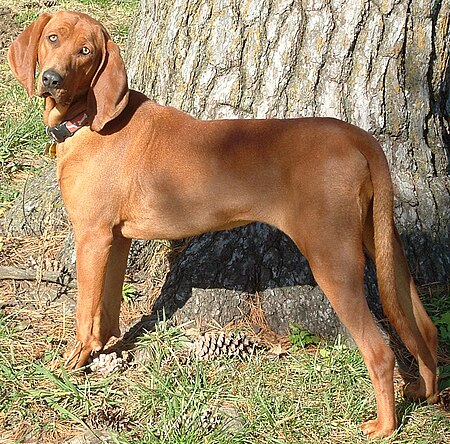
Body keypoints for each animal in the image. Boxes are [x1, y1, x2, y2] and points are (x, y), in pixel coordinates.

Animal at [7, 10, 436, 438]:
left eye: (86, 51)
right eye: (53, 37)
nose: (51, 79)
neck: (87, 120)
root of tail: (357, 136)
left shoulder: (92, 236)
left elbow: (85, 312)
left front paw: (71, 363)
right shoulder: (116, 238)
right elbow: (108, 307)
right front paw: (106, 349)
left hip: (334, 260)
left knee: (380, 352)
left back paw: (384, 425)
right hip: (383, 247)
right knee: (423, 327)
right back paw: (423, 390)